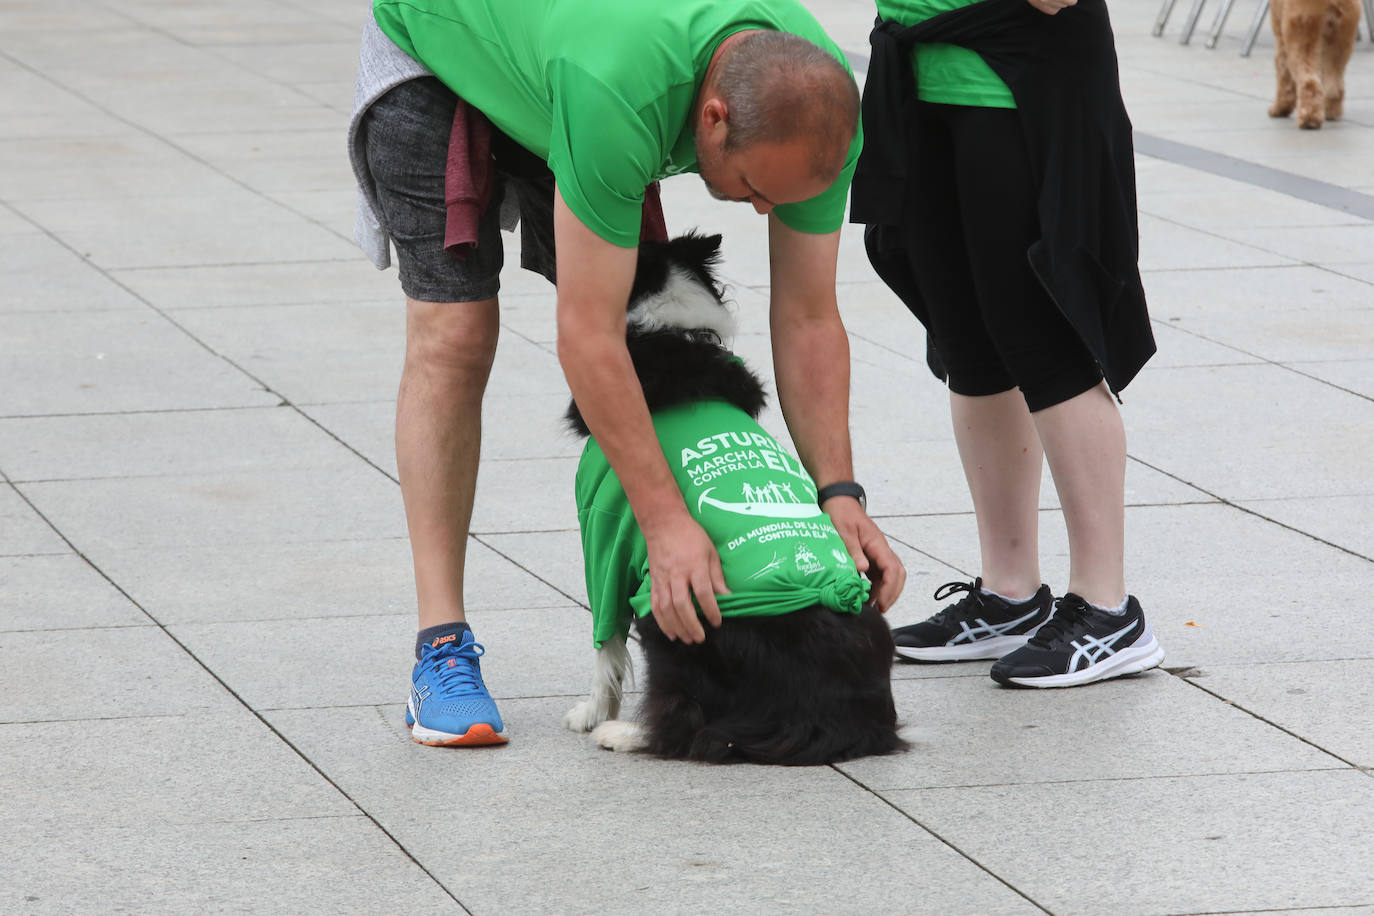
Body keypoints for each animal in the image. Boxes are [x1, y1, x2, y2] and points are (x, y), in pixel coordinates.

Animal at [557, 230, 901, 769]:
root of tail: (835, 721)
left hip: (679, 617)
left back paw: (624, 733)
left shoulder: (604, 532)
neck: (666, 327)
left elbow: (605, 644)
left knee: (686, 723)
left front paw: (591, 714)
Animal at [1264, 0, 1363, 129]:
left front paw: (1279, 109)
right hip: (1340, 45)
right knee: (1335, 88)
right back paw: (1331, 113)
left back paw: (1309, 119)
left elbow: (1284, 78)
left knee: (1309, 84)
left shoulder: (1281, 42)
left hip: (1302, 38)